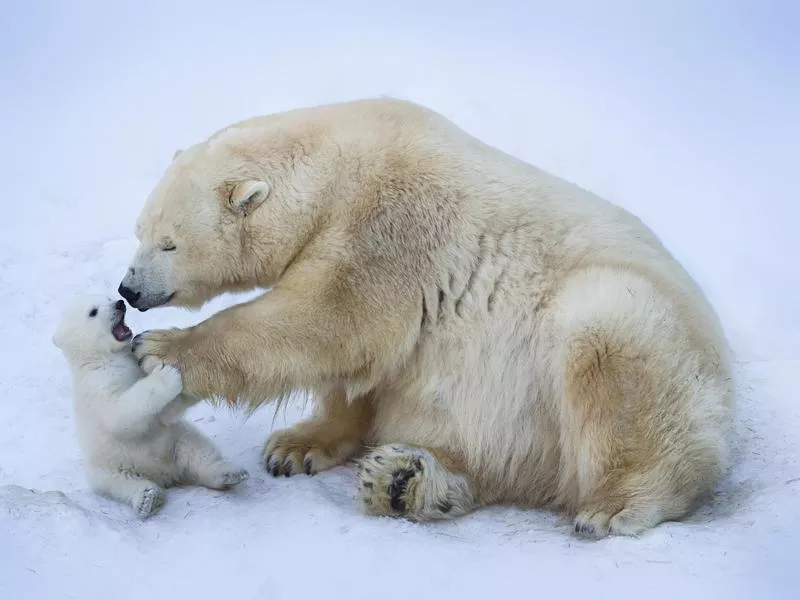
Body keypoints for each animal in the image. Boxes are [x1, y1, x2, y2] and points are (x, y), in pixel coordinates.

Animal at [52, 294, 248, 516]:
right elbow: (120, 415)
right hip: (108, 466)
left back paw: (230, 473)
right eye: (93, 311)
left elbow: (164, 414)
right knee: (119, 483)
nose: (120, 303)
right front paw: (166, 374)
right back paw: (147, 498)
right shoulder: (98, 385)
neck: (103, 358)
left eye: (107, 297)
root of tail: (163, 474)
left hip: (176, 440)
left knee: (198, 451)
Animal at [117, 98, 732, 540]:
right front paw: (295, 448)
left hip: (640, 340)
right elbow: (362, 366)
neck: (339, 167)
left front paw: (160, 350)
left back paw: (615, 505)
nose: (128, 289)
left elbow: (328, 318)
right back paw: (403, 481)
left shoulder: (394, 223)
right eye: (139, 231)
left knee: (610, 347)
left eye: (169, 244)